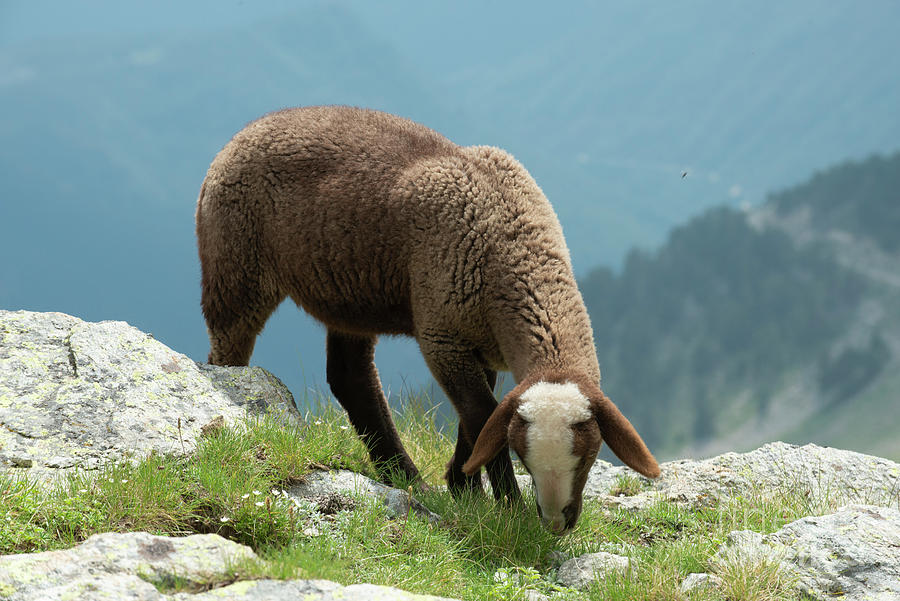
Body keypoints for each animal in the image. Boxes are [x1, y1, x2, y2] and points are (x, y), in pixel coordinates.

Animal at [199, 105, 660, 532]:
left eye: (590, 455)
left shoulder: (479, 342)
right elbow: (482, 415)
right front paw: (506, 507)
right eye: (524, 459)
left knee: (351, 377)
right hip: (235, 267)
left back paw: (403, 475)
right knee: (228, 352)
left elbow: (479, 418)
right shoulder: (443, 335)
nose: (554, 522)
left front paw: (464, 486)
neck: (511, 238)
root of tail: (248, 131)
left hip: (347, 295)